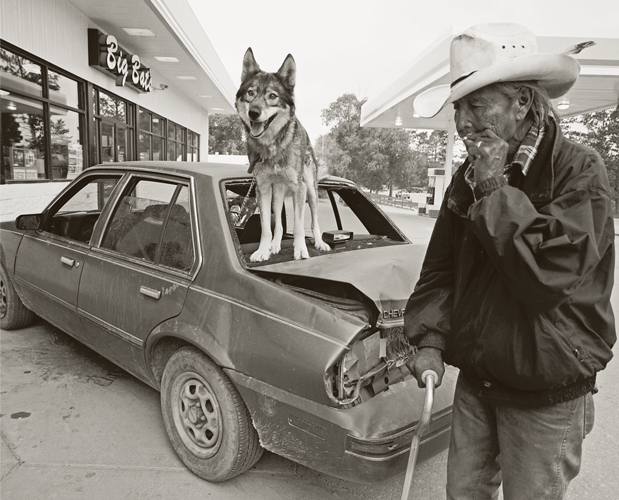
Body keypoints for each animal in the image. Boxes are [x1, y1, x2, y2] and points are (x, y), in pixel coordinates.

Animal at [235, 47, 332, 262]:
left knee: (314, 221)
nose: (254, 112)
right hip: (277, 193)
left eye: (272, 96)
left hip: (310, 191)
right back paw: (275, 245)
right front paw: (263, 250)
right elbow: (265, 228)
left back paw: (320, 243)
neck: (273, 147)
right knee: (278, 224)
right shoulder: (262, 189)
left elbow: (298, 227)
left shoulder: (299, 188)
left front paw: (300, 250)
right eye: (250, 93)